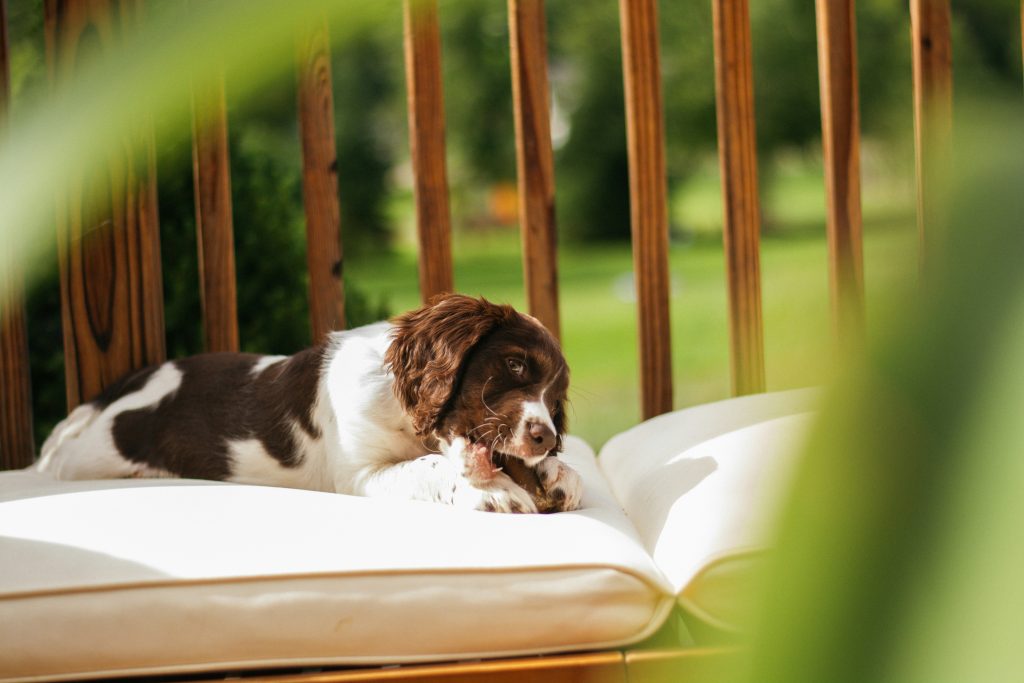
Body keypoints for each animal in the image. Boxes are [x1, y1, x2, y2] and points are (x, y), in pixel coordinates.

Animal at [34, 294, 585, 511]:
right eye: (515, 366)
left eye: (556, 400)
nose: (545, 438)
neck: (407, 420)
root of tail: (134, 379)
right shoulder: (359, 474)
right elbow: (429, 466)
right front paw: (497, 492)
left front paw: (558, 474)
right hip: (92, 456)